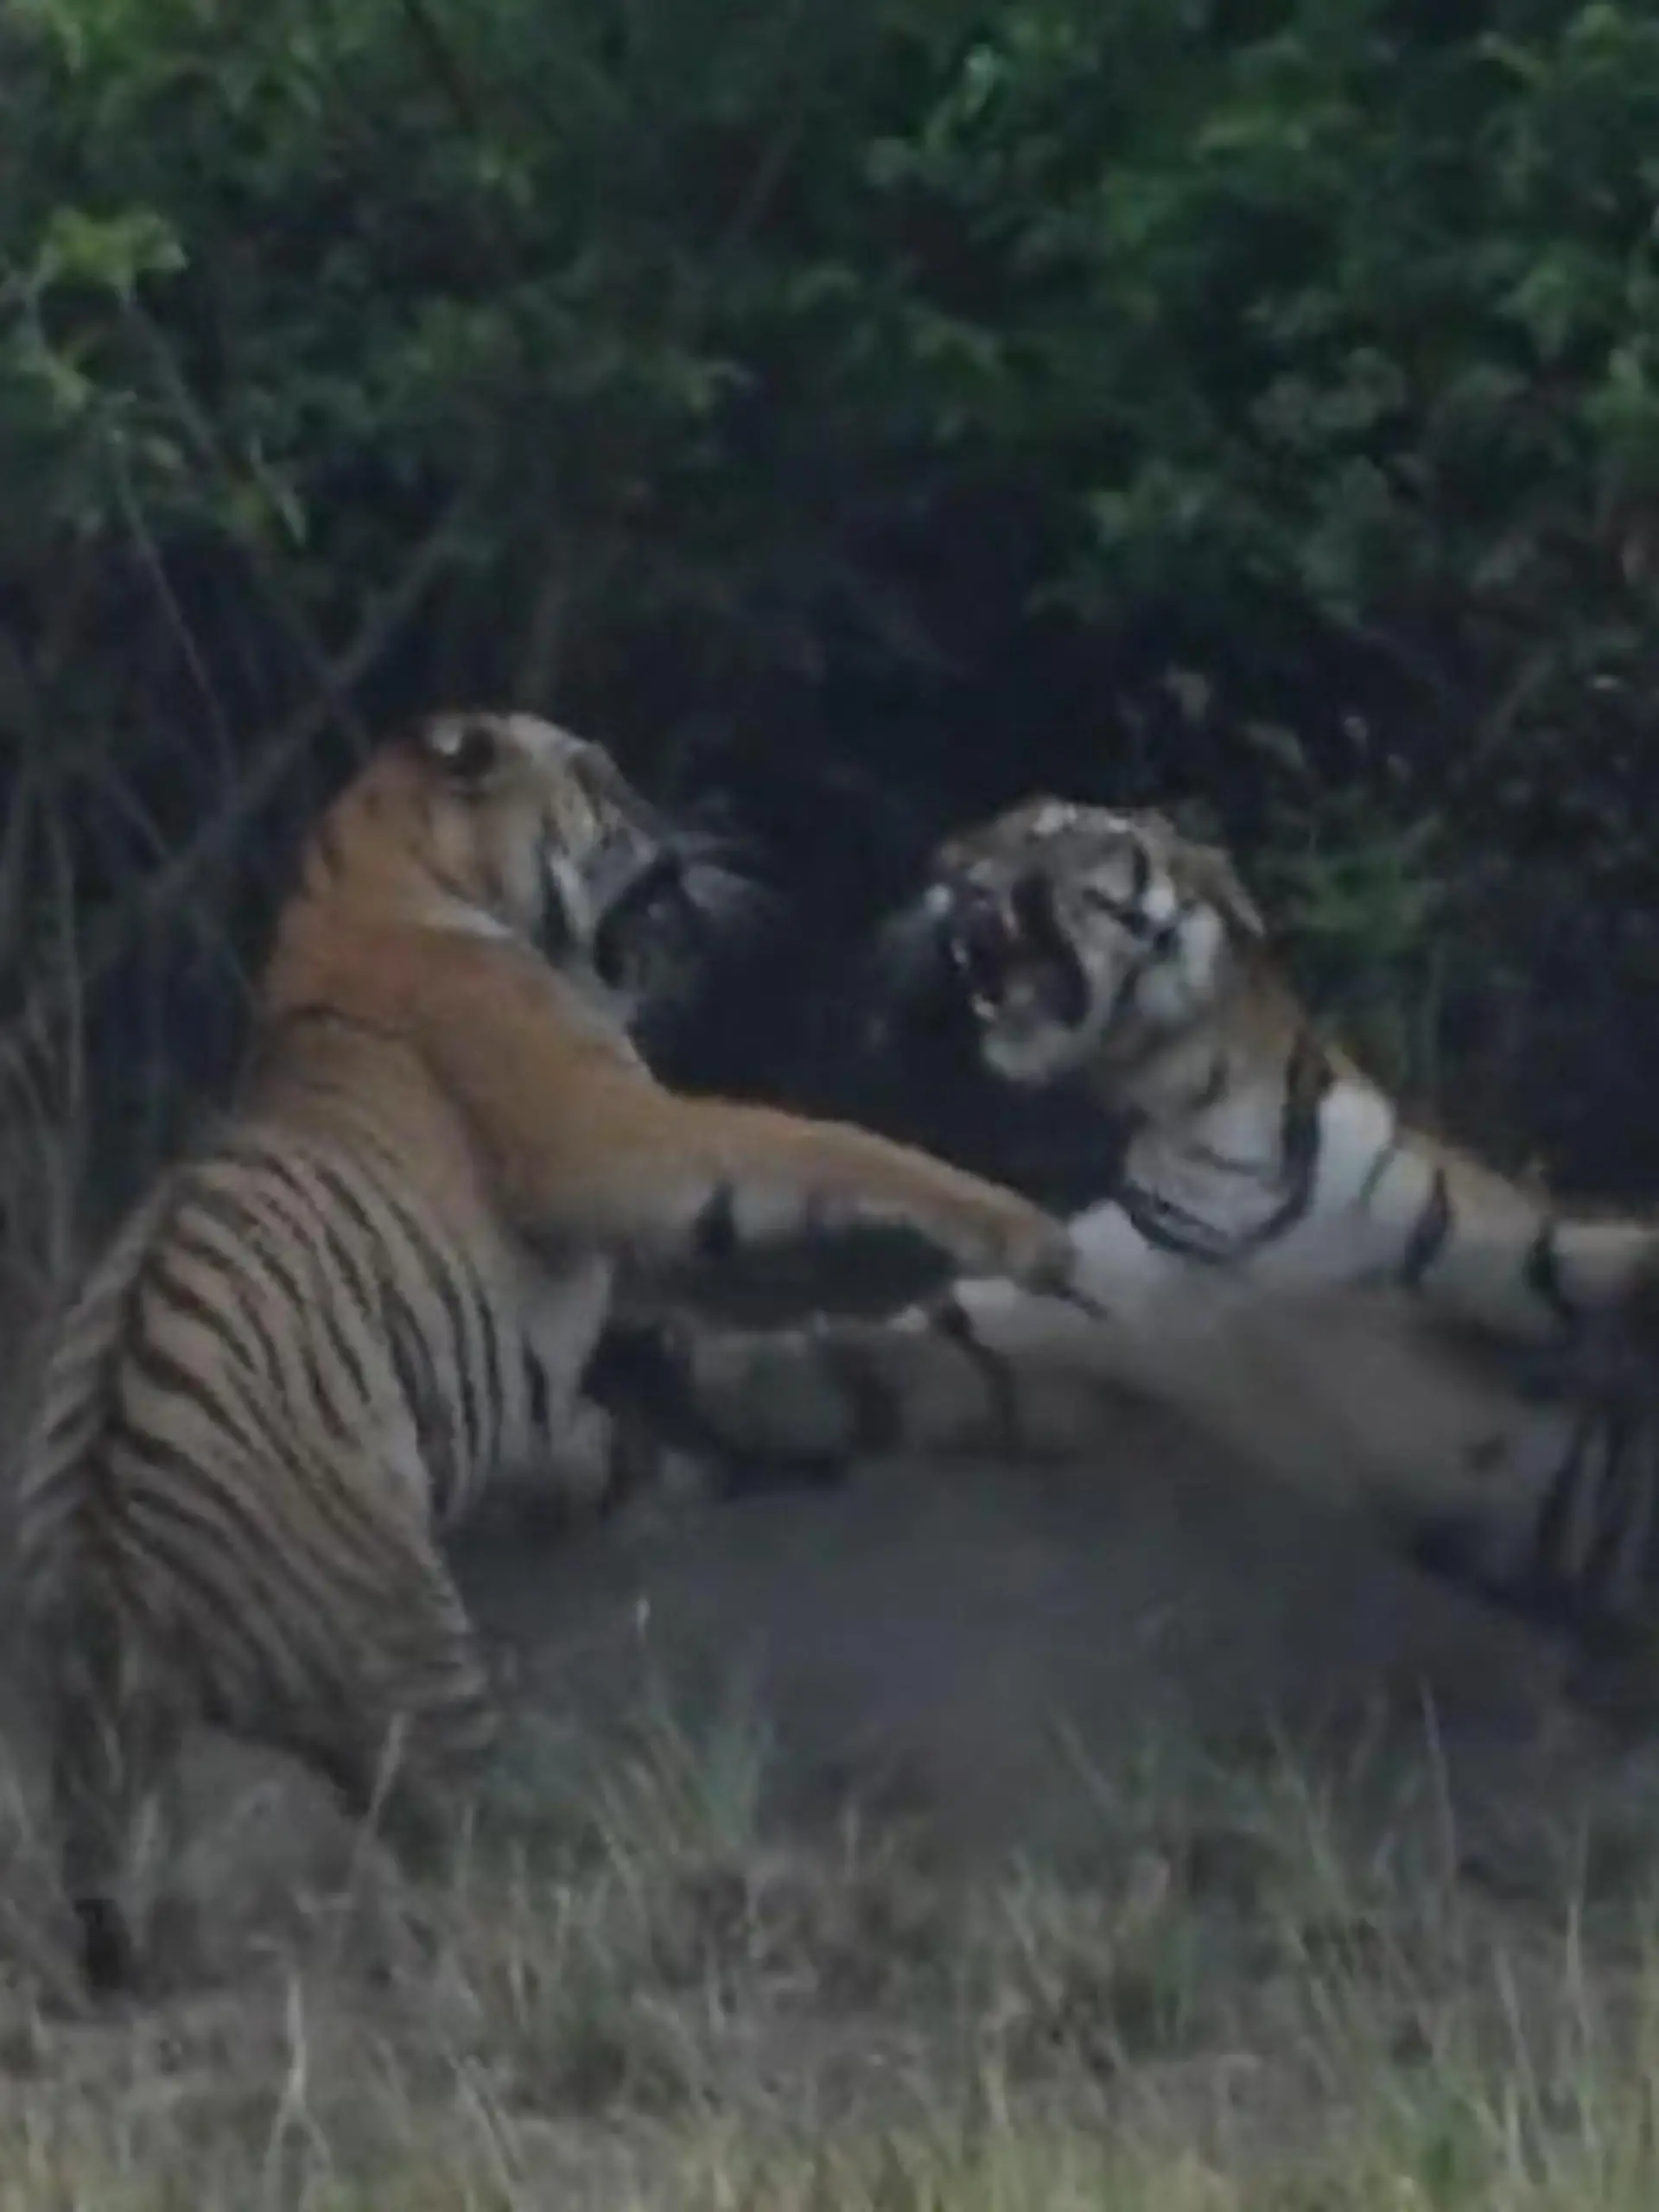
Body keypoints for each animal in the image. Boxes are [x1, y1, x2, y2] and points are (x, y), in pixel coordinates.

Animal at [7, 711, 1074, 1999]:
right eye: (605, 783)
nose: (700, 831)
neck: (389, 874)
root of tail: (97, 1555)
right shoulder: (628, 1142)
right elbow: (822, 1144)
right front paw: (1024, 1227)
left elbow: (658, 1417)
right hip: (409, 1662)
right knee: (460, 1836)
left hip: (111, 1762)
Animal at [641, 795, 1659, 1651]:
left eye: (1050, 829)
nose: (942, 862)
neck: (1192, 1119)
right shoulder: (1071, 1328)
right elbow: (883, 1351)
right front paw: (718, 1373)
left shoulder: (1493, 1245)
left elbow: (1594, 1260)